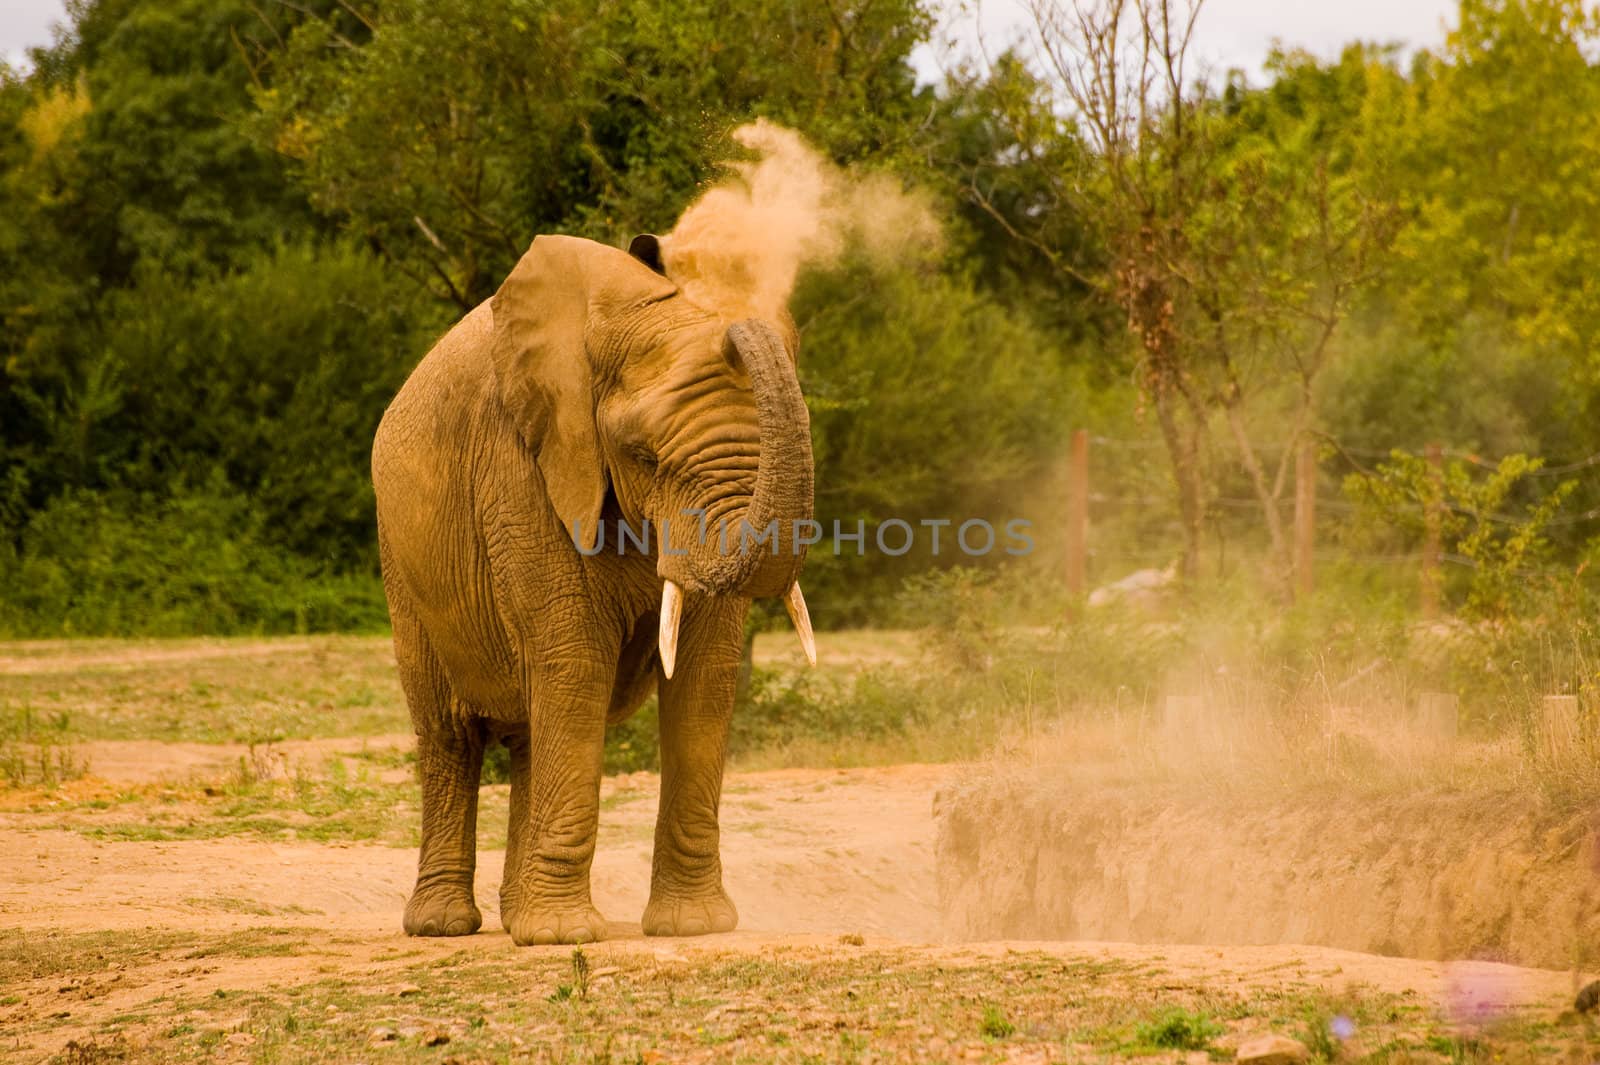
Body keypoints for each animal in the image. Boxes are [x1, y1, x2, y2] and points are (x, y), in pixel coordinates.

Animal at [371, 231, 812, 946]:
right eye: (643, 456)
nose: (738, 324)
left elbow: (704, 675)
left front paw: (693, 928)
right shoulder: (524, 463)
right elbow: (575, 660)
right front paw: (564, 939)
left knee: (530, 731)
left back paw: (514, 916)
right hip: (401, 561)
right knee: (449, 735)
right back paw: (445, 926)